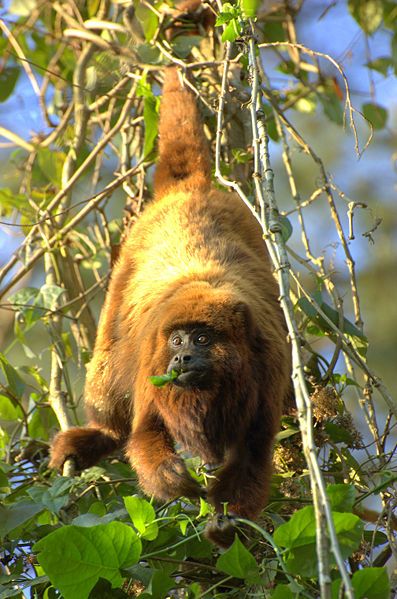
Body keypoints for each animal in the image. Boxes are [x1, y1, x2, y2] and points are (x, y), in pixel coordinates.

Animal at [49, 64, 290, 544]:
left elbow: (254, 454)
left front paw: (226, 523)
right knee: (108, 374)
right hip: (122, 277)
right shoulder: (151, 359)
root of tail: (191, 190)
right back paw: (100, 433)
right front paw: (177, 481)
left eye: (202, 339)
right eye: (177, 340)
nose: (181, 357)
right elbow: (144, 434)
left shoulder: (268, 362)